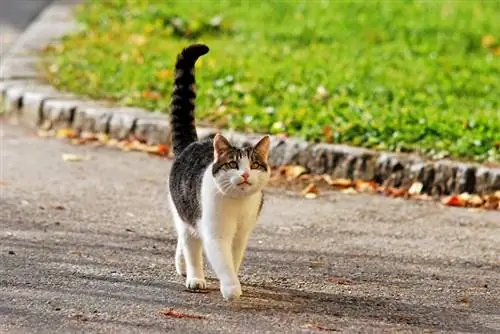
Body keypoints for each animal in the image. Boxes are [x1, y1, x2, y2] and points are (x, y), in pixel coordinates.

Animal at [167, 43, 270, 302]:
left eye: (254, 165)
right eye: (233, 164)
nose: (245, 175)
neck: (237, 204)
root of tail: (192, 143)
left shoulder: (241, 234)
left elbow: (234, 258)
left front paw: (234, 277)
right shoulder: (215, 233)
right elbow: (222, 261)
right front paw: (231, 288)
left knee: (183, 241)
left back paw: (182, 266)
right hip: (186, 212)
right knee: (191, 245)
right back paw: (195, 278)